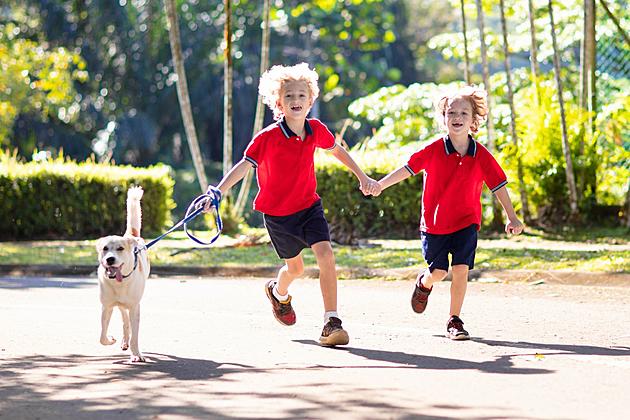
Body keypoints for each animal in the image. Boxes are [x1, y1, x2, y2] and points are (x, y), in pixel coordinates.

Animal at [96, 185, 151, 362]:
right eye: (105, 248)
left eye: (120, 248)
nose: (110, 259)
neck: (119, 282)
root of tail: (130, 236)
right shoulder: (106, 307)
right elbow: (102, 336)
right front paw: (111, 339)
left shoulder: (135, 307)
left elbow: (136, 336)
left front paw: (136, 354)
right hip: (119, 306)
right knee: (124, 321)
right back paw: (124, 340)